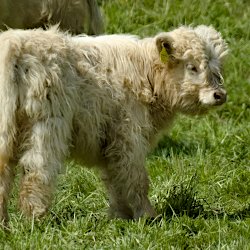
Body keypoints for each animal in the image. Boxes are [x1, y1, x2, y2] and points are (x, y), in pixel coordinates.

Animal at [0, 25, 228, 224]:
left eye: (216, 68)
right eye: (192, 67)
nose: (219, 95)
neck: (146, 73)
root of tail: (16, 41)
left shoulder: (110, 142)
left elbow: (115, 180)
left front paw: (121, 216)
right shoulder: (128, 135)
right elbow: (135, 177)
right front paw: (146, 216)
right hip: (46, 127)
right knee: (37, 169)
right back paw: (35, 218)